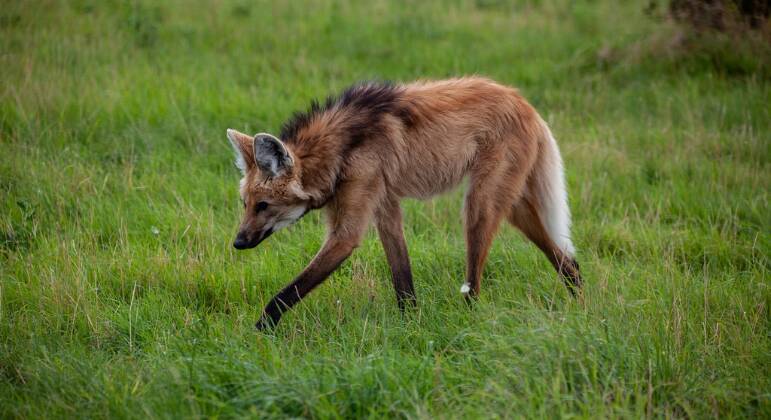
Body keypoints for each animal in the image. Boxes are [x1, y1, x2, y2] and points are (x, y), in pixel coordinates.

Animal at [226, 77, 584, 330]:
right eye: (245, 204)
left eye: (263, 205)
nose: (238, 243)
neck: (339, 151)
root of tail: (525, 103)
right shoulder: (385, 205)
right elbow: (402, 278)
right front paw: (411, 324)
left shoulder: (348, 230)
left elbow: (288, 292)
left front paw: (258, 332)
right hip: (513, 205)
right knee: (567, 260)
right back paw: (581, 303)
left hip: (479, 205)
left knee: (476, 282)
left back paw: (470, 321)